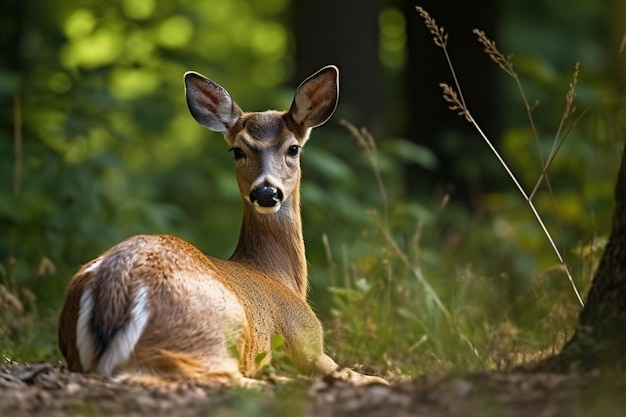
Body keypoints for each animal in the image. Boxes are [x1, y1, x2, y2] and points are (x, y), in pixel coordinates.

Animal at [57, 66, 386, 386]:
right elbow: (368, 377)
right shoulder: (307, 340)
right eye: (237, 150)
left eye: (294, 149)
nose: (266, 192)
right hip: (215, 329)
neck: (277, 275)